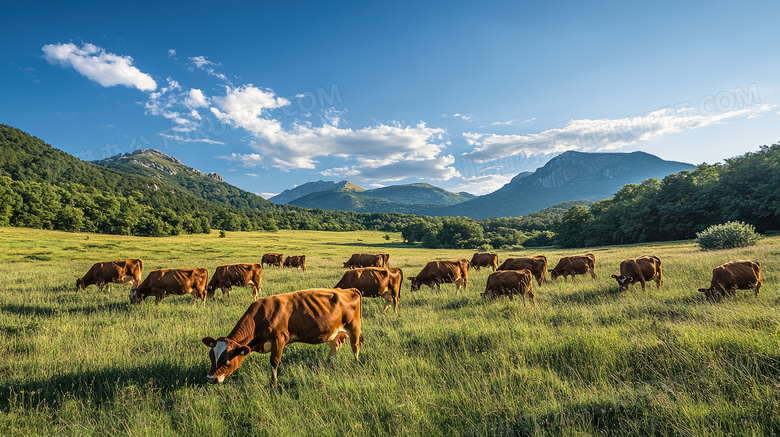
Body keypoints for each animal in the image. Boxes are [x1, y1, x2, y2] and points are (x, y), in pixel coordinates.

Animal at [200, 288, 362, 384]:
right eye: (211, 356)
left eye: (227, 360)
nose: (211, 378)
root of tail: (348, 290)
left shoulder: (279, 340)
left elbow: (274, 362)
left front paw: (273, 384)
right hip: (333, 331)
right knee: (334, 347)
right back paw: (326, 365)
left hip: (354, 327)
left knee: (355, 346)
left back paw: (356, 363)